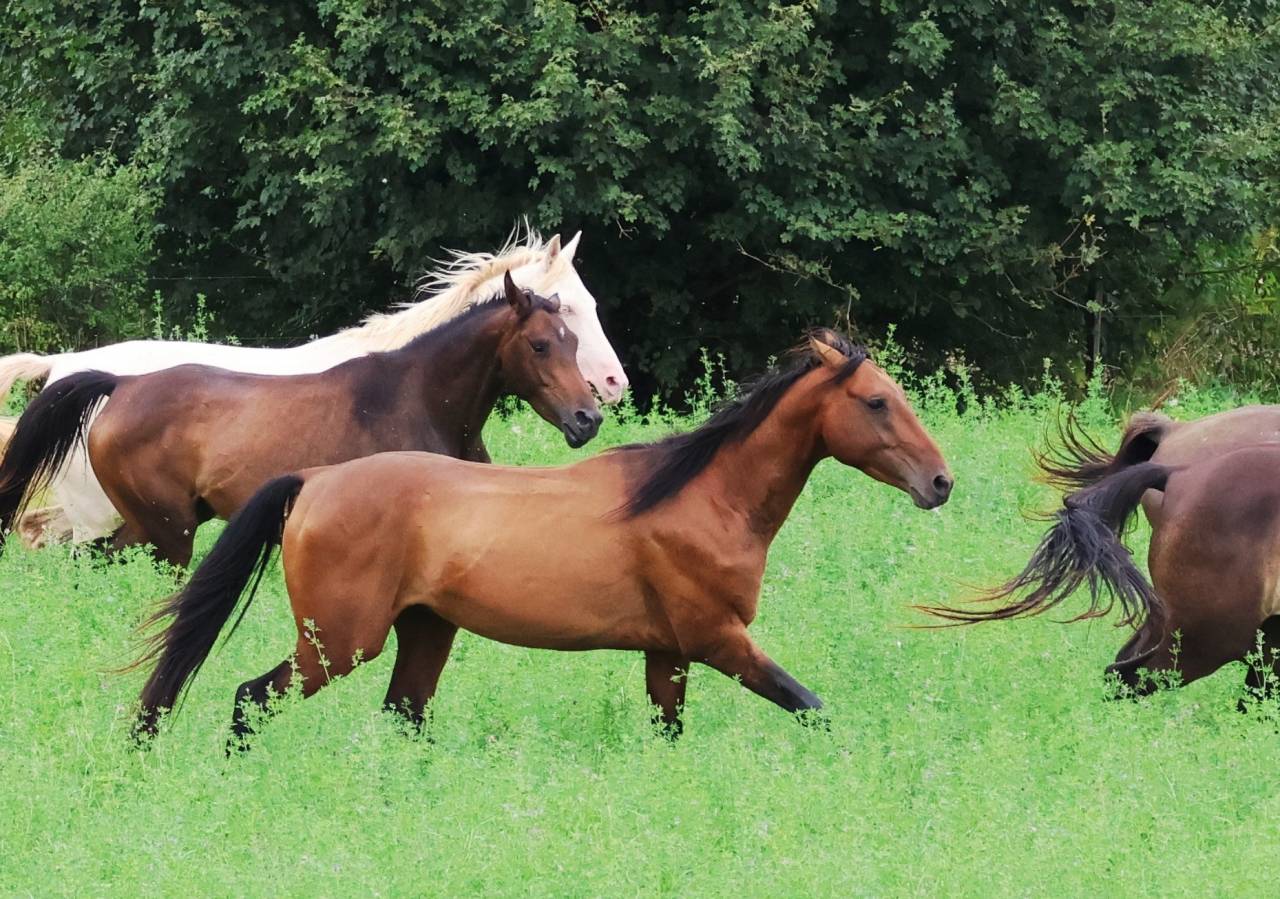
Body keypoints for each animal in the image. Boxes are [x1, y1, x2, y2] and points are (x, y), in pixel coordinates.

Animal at [129, 329, 954, 745]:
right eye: (877, 402)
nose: (941, 481)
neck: (704, 496)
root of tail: (313, 481)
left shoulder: (669, 652)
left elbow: (669, 731)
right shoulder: (718, 638)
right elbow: (812, 705)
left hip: (423, 632)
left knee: (402, 718)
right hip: (337, 640)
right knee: (249, 698)